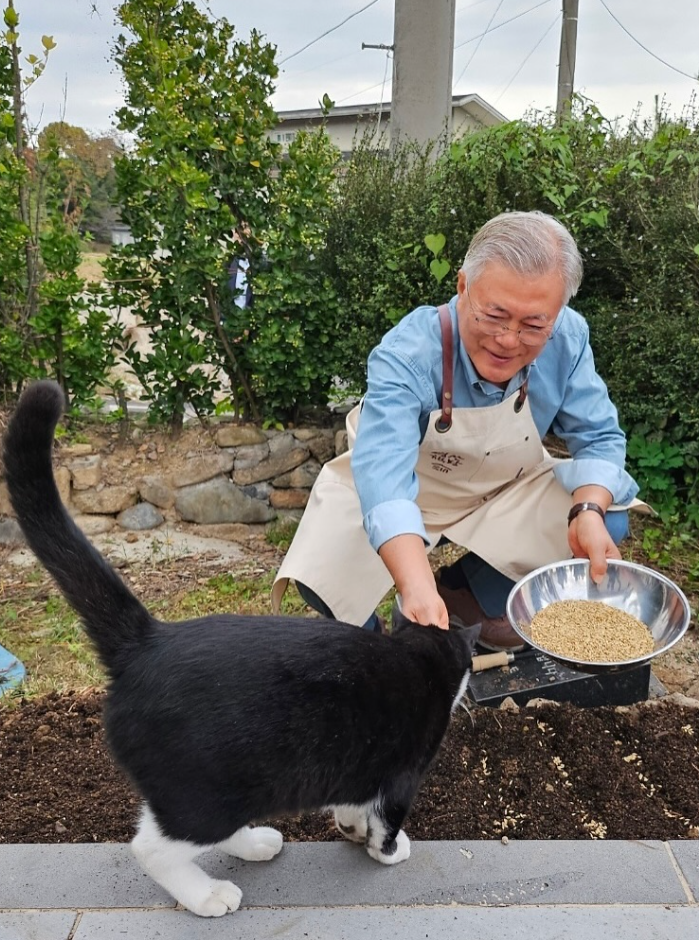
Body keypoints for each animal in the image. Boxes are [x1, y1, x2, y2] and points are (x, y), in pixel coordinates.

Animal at [2, 382, 478, 916]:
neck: (420, 654)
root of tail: (146, 641)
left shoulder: (359, 768)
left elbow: (355, 805)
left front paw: (350, 828)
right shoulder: (403, 773)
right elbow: (388, 819)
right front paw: (388, 851)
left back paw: (254, 843)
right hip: (205, 793)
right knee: (151, 847)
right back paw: (208, 894)